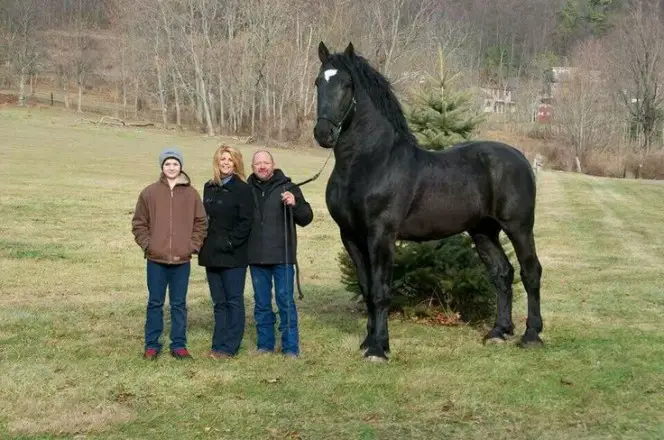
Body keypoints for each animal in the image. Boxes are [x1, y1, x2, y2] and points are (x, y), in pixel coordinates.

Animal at [314, 40, 544, 360]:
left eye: (347, 84)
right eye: (318, 82)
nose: (323, 133)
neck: (370, 162)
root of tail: (520, 157)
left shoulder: (380, 235)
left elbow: (380, 290)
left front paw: (379, 349)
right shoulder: (350, 236)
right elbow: (366, 288)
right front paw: (369, 341)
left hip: (519, 227)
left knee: (530, 271)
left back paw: (532, 335)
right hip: (483, 231)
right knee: (502, 273)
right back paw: (499, 332)